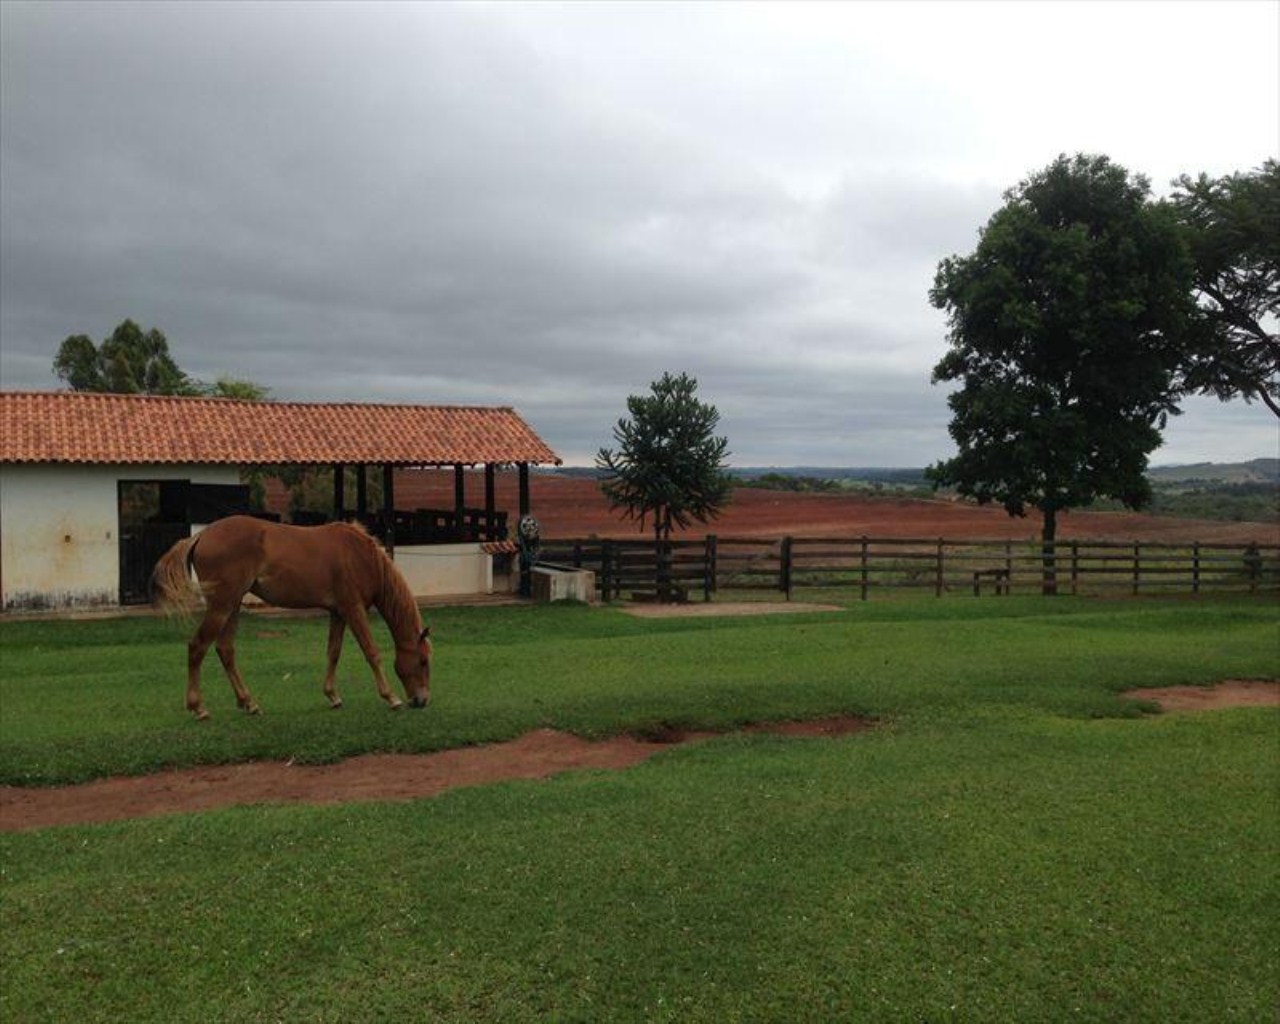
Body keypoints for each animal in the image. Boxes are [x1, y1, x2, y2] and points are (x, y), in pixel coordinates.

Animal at [151, 512, 432, 721]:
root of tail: (201, 535)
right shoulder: (354, 609)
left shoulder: (338, 612)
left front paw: (332, 695)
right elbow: (371, 652)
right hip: (222, 606)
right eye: (423, 661)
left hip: (232, 606)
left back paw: (248, 702)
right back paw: (198, 707)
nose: (422, 700)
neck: (361, 556)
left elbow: (334, 652)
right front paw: (391, 697)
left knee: (225, 650)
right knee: (197, 647)